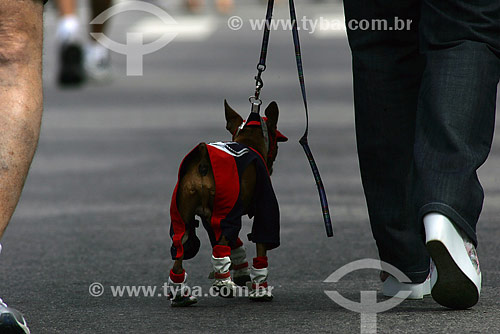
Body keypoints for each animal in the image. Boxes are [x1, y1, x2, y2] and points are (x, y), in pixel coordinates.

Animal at [167, 99, 288, 306]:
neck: (249, 141)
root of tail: (203, 156)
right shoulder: (265, 206)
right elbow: (261, 245)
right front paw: (260, 290)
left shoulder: (209, 220)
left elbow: (235, 242)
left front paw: (241, 271)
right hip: (226, 212)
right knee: (220, 249)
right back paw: (223, 284)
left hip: (183, 219)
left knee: (180, 253)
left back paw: (182, 295)